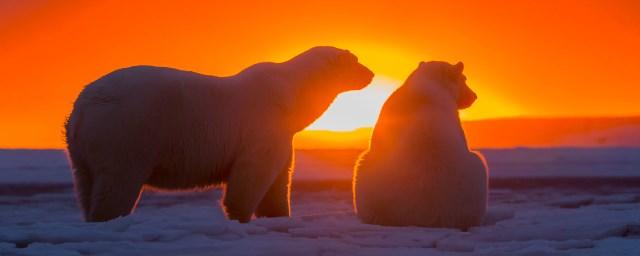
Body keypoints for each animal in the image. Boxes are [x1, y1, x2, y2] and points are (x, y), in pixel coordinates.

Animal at [63, 46, 376, 222]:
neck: (292, 96)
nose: (371, 73)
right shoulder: (262, 126)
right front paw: (240, 216)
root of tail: (82, 107)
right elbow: (252, 174)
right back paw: (109, 217)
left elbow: (279, 178)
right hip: (127, 132)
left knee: (86, 183)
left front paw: (278, 215)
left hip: (82, 150)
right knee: (118, 180)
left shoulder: (282, 134)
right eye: (355, 60)